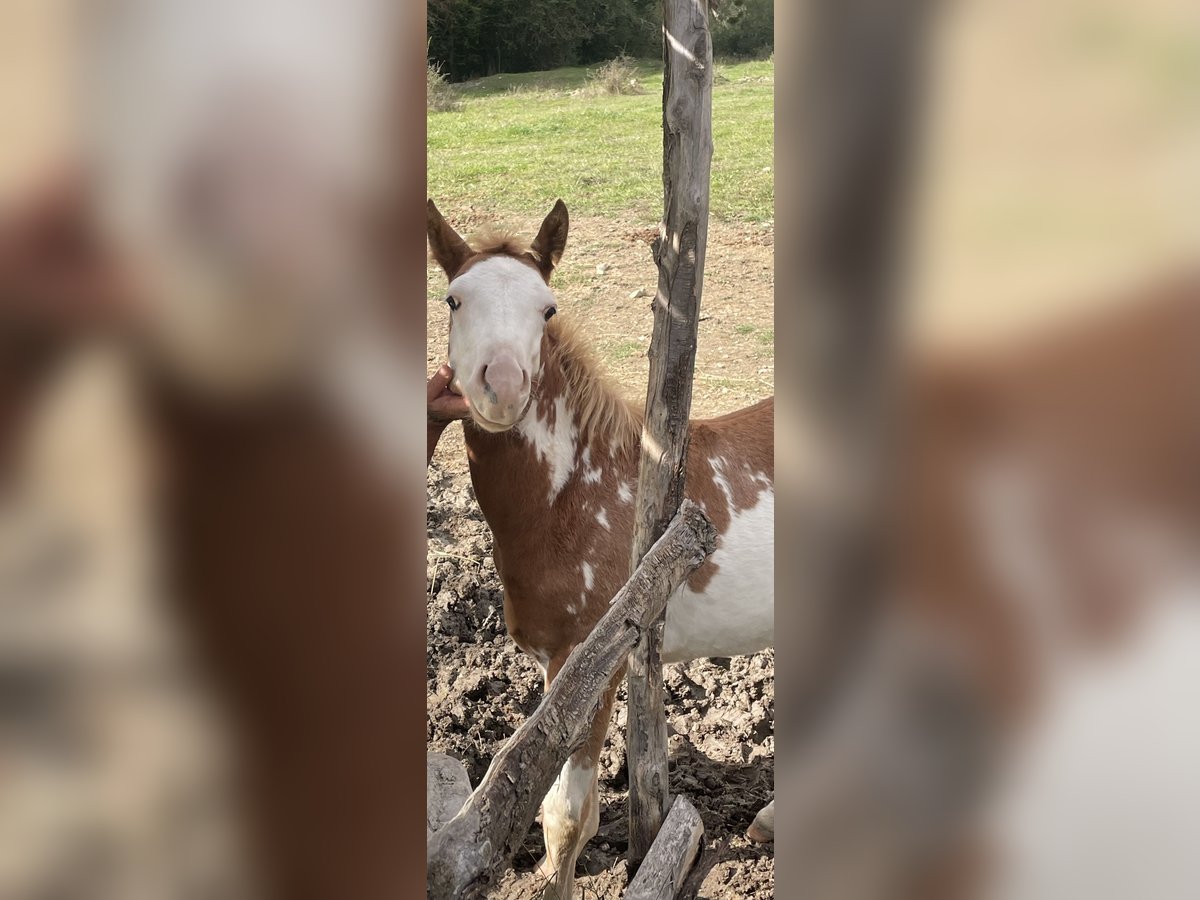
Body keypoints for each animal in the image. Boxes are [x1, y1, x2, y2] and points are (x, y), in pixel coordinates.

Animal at [427, 198, 775, 898]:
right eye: (453, 299)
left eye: (547, 308)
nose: (502, 385)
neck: (571, 494)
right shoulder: (552, 663)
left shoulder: (596, 661)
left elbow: (566, 817)